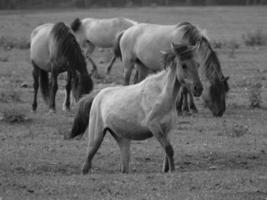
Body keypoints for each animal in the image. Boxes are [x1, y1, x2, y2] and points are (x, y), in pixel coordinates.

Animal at [71, 43, 203, 173]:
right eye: (184, 65)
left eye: (197, 64)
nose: (198, 89)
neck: (161, 95)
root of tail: (97, 96)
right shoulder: (154, 126)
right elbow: (169, 149)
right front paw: (172, 171)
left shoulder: (168, 129)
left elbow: (168, 152)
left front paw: (167, 169)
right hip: (96, 137)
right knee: (87, 163)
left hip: (122, 139)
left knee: (124, 168)